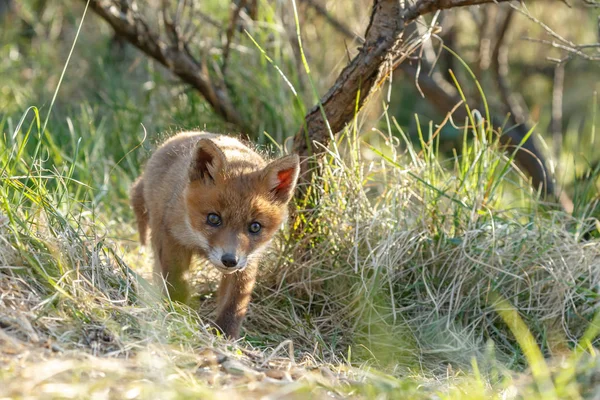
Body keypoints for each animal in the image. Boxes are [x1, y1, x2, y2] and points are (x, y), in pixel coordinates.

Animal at [131, 133, 300, 340]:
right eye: (213, 218)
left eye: (255, 227)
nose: (229, 260)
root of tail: (183, 135)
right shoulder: (172, 237)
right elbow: (177, 283)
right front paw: (178, 314)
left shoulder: (248, 261)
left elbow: (235, 304)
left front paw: (225, 336)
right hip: (157, 231)